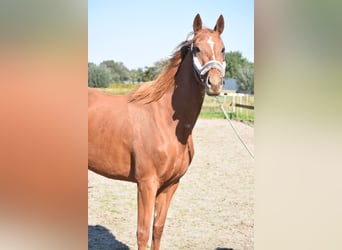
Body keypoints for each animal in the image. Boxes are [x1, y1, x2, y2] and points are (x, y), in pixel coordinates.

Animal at [89, 14, 226, 250]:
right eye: (197, 48)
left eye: (223, 49)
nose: (214, 83)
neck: (164, 122)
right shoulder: (146, 185)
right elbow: (142, 232)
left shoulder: (170, 185)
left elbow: (158, 229)